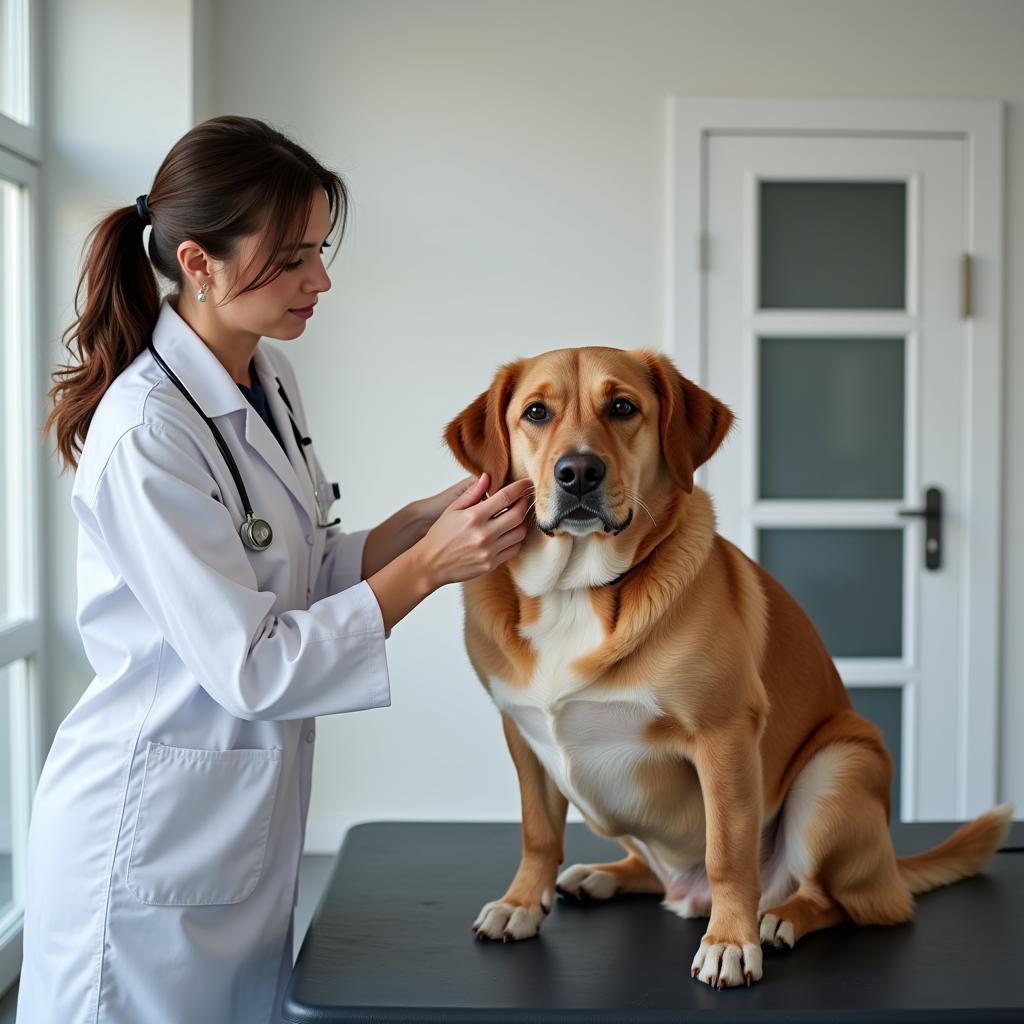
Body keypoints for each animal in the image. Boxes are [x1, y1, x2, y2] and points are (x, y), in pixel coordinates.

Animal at [444, 346, 1011, 991]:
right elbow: (537, 832)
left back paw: (779, 918)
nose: (578, 473)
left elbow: (728, 854)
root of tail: (891, 867)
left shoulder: (724, 736)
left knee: (844, 902)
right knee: (656, 873)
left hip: (838, 768)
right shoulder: (522, 733)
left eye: (623, 408)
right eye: (536, 413)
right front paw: (521, 902)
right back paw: (607, 875)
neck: (576, 590)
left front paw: (731, 941)